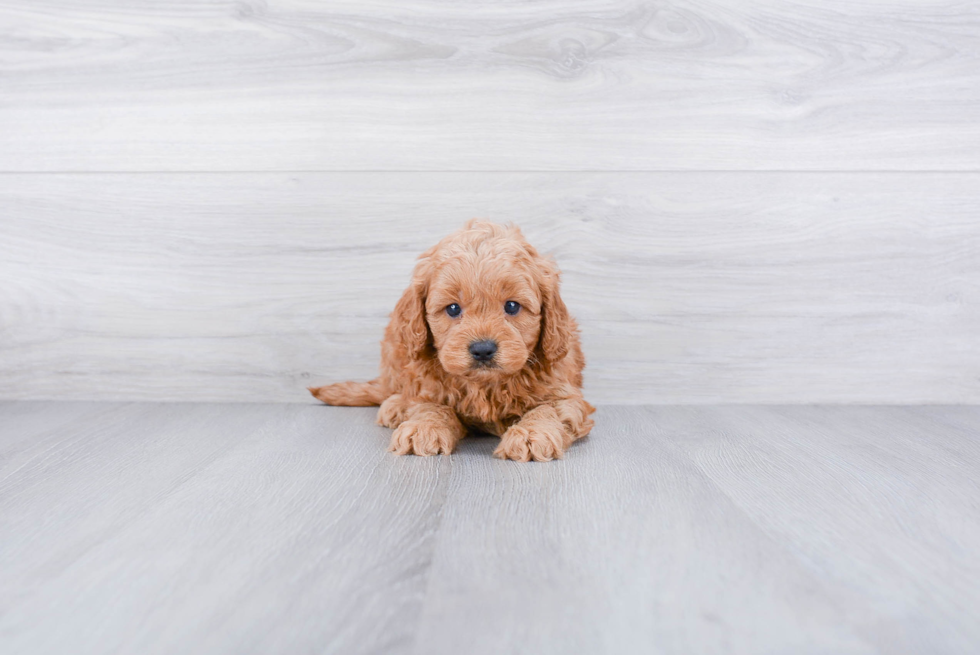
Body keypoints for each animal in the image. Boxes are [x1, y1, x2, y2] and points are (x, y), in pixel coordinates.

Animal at [310, 220, 592, 462]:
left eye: (512, 306)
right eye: (453, 309)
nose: (482, 349)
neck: (485, 386)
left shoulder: (565, 393)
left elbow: (549, 409)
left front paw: (531, 433)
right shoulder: (428, 386)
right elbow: (431, 406)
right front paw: (423, 427)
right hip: (396, 346)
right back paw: (396, 404)